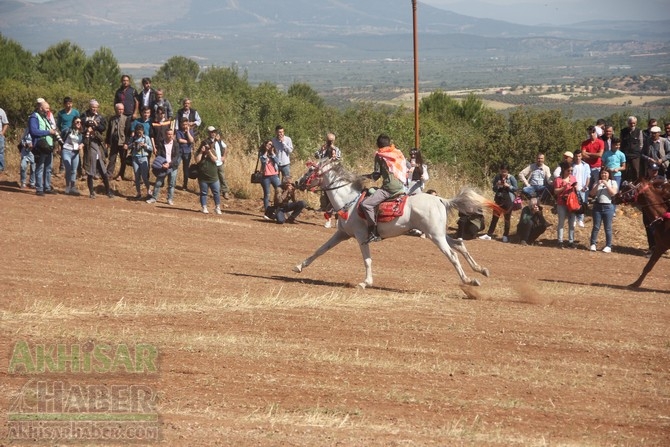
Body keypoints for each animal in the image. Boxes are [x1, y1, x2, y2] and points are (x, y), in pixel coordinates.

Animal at [294, 159, 504, 288]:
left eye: (311, 170)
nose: (297, 182)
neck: (351, 202)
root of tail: (441, 200)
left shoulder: (361, 237)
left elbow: (367, 260)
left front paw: (365, 282)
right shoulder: (342, 234)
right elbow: (320, 250)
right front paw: (299, 266)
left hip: (435, 236)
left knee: (452, 255)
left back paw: (468, 280)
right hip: (439, 233)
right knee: (459, 244)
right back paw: (480, 270)